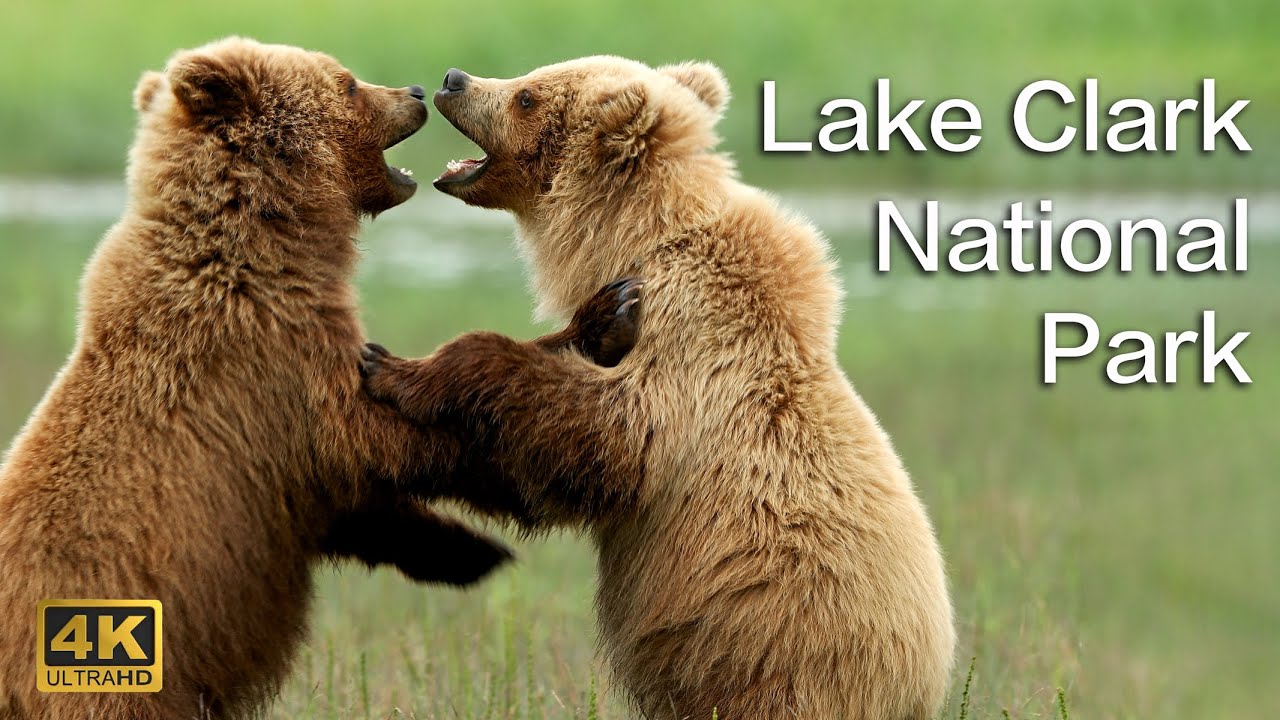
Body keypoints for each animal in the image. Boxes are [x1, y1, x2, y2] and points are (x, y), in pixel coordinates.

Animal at [0, 40, 639, 720]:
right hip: (101, 683)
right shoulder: (270, 362)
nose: (416, 90)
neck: (264, 238)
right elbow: (377, 437)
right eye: (349, 83)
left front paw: (468, 552)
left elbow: (360, 507)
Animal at [360, 57, 956, 719]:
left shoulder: (691, 339)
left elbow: (609, 440)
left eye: (527, 96)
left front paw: (402, 367)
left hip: (781, 664)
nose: (454, 79)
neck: (637, 240)